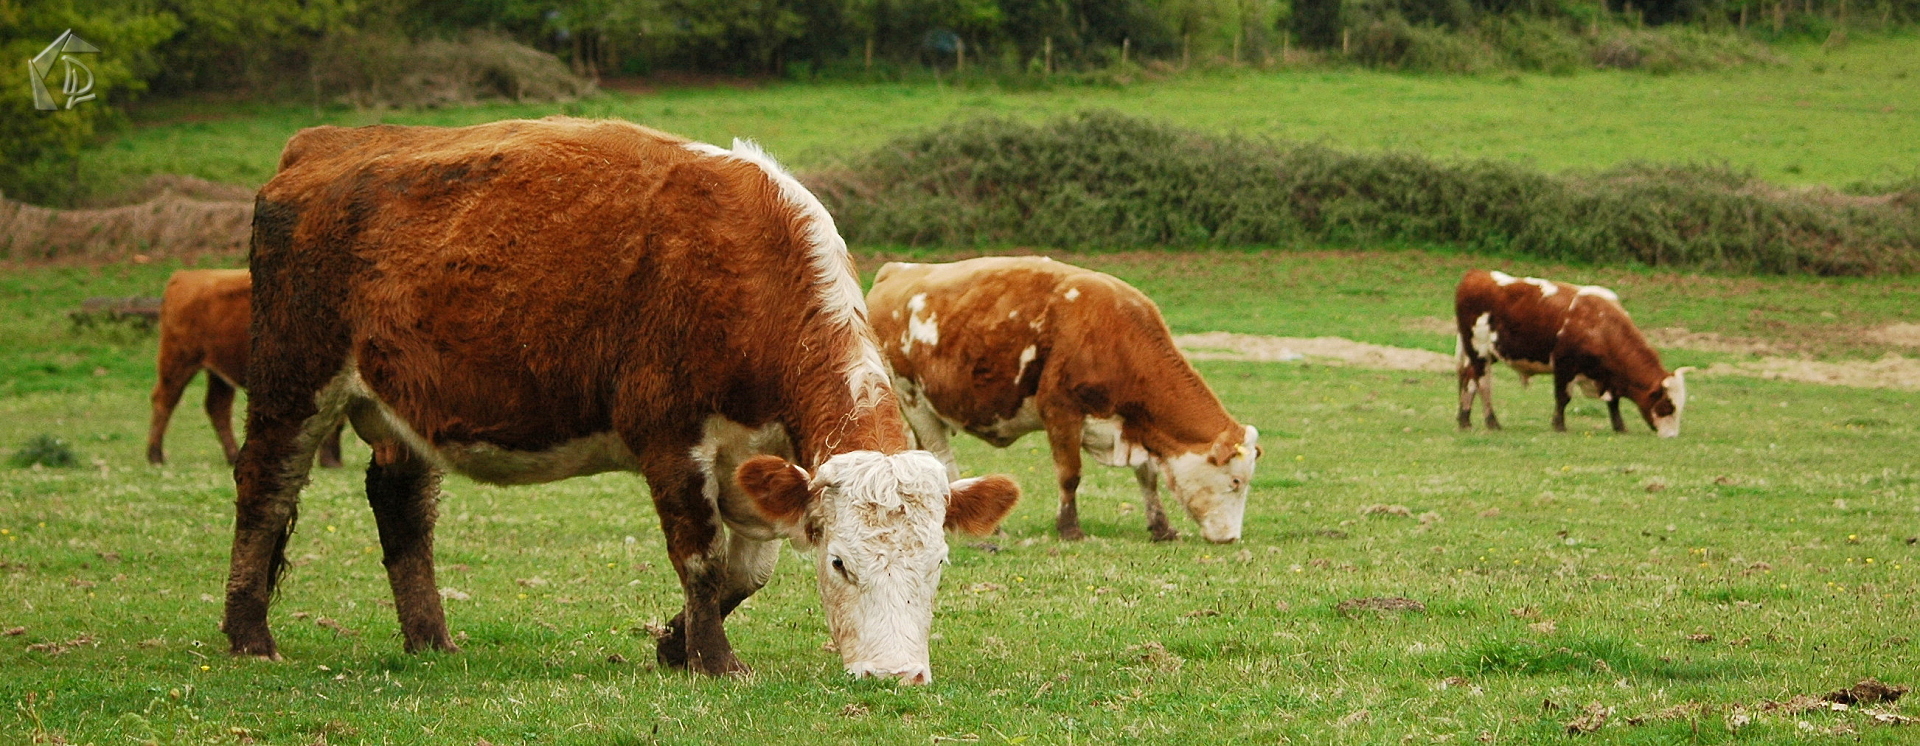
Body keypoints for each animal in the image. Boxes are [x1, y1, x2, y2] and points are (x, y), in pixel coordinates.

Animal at [146, 269, 343, 468]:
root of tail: (183, 276)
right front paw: (330, 461)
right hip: (179, 362)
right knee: (165, 400)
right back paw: (156, 456)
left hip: (217, 374)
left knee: (217, 407)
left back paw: (233, 456)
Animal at [222, 117, 1020, 684]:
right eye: (840, 565)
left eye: (939, 564)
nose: (896, 676)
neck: (745, 269)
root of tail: (321, 145)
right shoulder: (669, 437)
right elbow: (700, 557)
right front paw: (714, 663)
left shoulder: (762, 459)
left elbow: (746, 573)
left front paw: (675, 645)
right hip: (294, 379)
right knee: (264, 489)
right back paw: (249, 636)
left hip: (406, 403)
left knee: (401, 503)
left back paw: (431, 640)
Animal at [868, 257, 1259, 544]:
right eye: (1236, 482)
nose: (1231, 538)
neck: (1114, 333)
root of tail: (897, 271)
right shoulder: (1061, 411)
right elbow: (1070, 474)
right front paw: (1070, 529)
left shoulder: (1132, 424)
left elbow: (1147, 477)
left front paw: (1161, 527)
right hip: (913, 400)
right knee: (943, 457)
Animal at [1455, 269, 1693, 437]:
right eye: (1667, 406)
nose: (1671, 436)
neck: (1599, 324)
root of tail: (1476, 275)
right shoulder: (1564, 365)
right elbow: (1563, 398)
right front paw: (1559, 425)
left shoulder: (1608, 376)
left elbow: (1613, 402)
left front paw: (1619, 426)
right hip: (1479, 350)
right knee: (1483, 384)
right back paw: (1492, 421)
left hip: (1486, 353)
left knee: (1469, 380)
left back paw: (1465, 420)